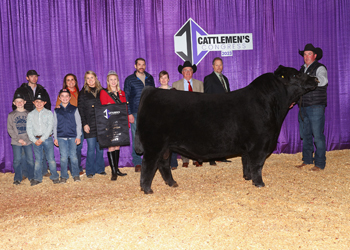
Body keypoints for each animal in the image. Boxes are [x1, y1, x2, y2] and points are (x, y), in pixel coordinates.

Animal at [133, 65, 318, 194]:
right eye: (295, 74)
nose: (315, 79)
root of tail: (152, 91)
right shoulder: (260, 144)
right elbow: (257, 164)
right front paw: (259, 183)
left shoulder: (248, 146)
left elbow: (246, 162)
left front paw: (247, 178)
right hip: (154, 144)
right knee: (149, 164)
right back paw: (147, 189)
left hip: (166, 146)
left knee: (163, 164)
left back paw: (172, 183)